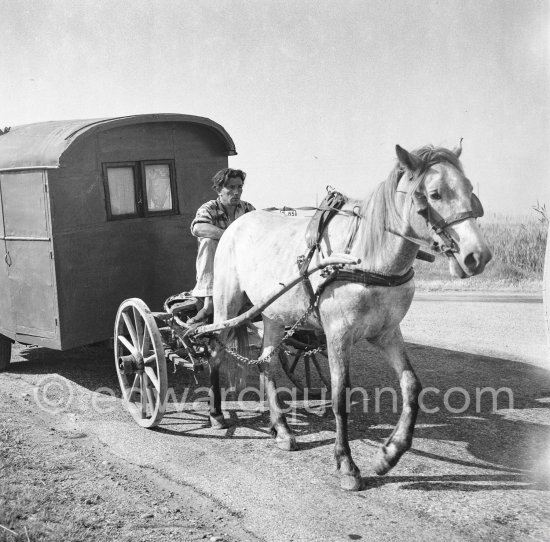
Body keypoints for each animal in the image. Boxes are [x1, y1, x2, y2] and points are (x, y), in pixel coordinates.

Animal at [206, 144, 492, 492]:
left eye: (469, 189)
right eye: (435, 194)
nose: (478, 256)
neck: (367, 259)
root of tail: (238, 223)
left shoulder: (387, 333)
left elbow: (411, 386)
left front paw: (390, 453)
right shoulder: (337, 334)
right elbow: (340, 395)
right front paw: (346, 464)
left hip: (274, 313)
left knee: (266, 364)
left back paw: (282, 429)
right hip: (227, 303)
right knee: (216, 350)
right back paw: (217, 414)